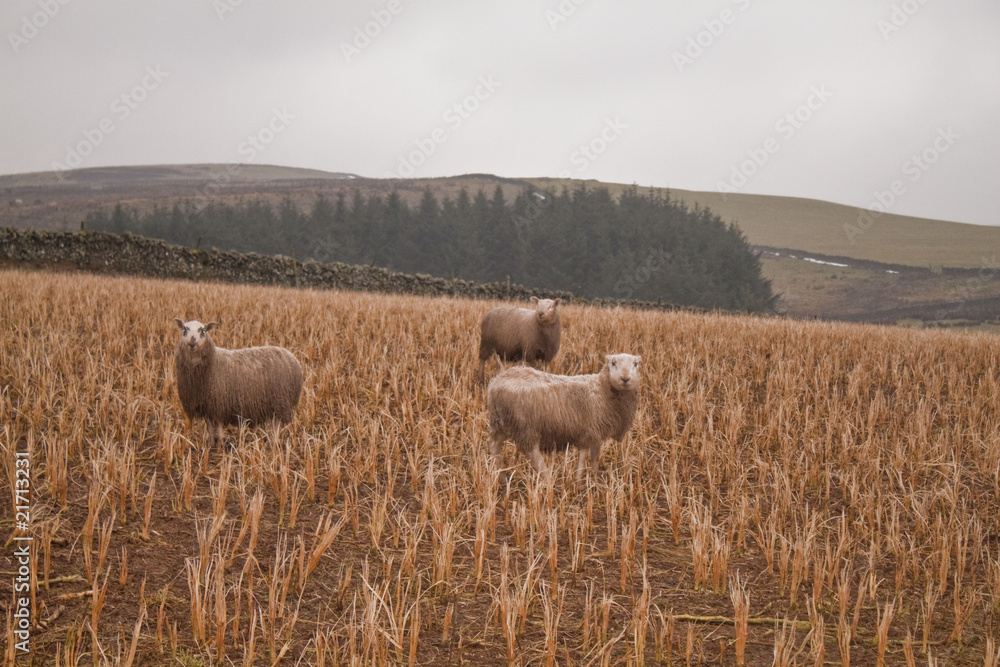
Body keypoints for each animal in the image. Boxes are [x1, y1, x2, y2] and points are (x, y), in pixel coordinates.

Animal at [173, 318, 303, 448]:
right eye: (184, 330)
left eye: (203, 331)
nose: (192, 343)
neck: (212, 362)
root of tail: (293, 359)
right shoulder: (207, 404)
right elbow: (210, 427)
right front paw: (211, 445)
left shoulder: (219, 403)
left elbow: (218, 427)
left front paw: (220, 445)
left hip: (280, 401)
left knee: (276, 424)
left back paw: (274, 443)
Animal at [486, 353, 641, 484]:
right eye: (613, 363)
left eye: (635, 364)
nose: (625, 379)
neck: (602, 389)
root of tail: (494, 384)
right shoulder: (592, 430)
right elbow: (589, 456)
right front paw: (586, 480)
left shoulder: (591, 431)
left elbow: (589, 455)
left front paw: (587, 479)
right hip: (525, 425)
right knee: (533, 452)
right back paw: (547, 479)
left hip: (501, 423)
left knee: (494, 447)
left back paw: (501, 477)